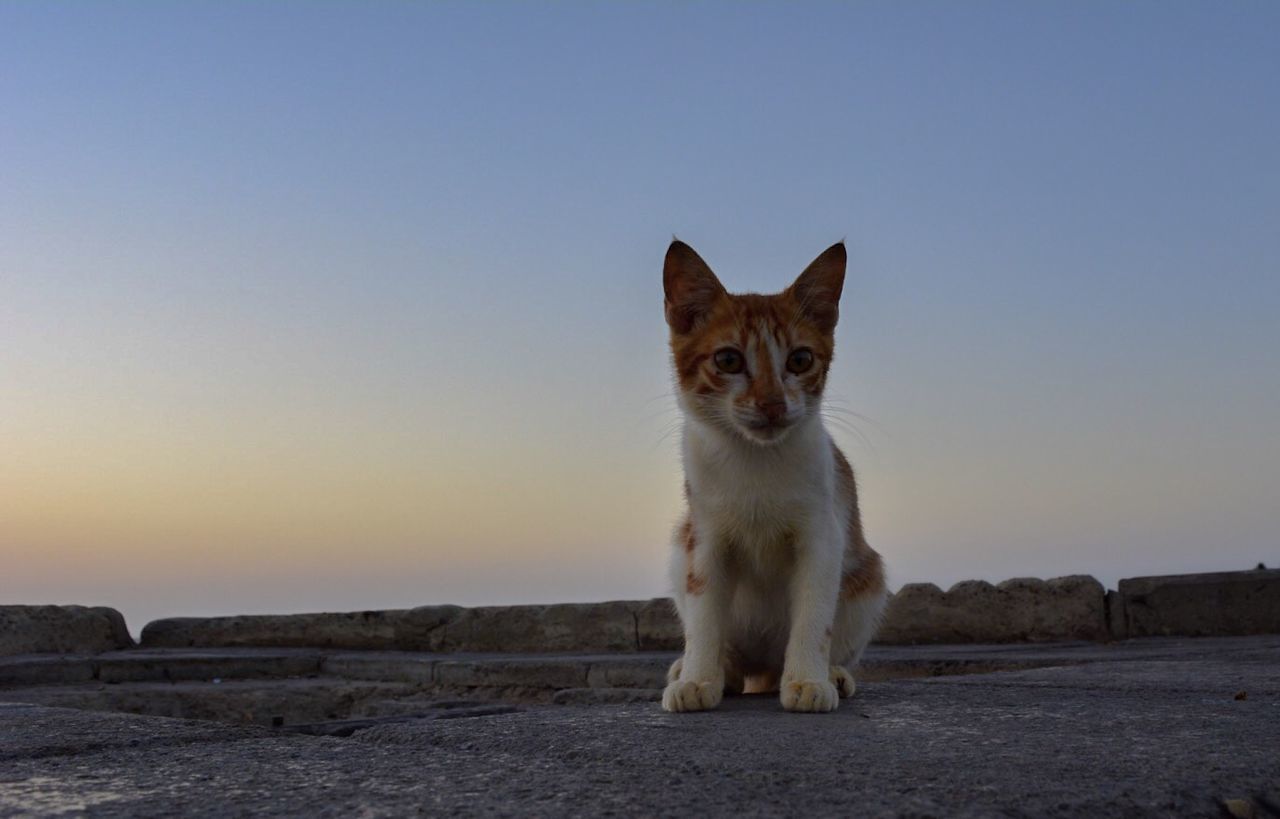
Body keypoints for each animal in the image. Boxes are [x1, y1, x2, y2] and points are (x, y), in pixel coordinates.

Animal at [660, 241, 890, 711]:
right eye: (727, 360)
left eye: (800, 360)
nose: (772, 403)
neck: (755, 461)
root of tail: (763, 668)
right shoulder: (705, 539)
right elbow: (704, 614)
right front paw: (698, 678)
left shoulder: (824, 535)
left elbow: (814, 616)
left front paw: (808, 680)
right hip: (678, 545)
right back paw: (715, 670)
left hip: (869, 580)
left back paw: (833, 673)